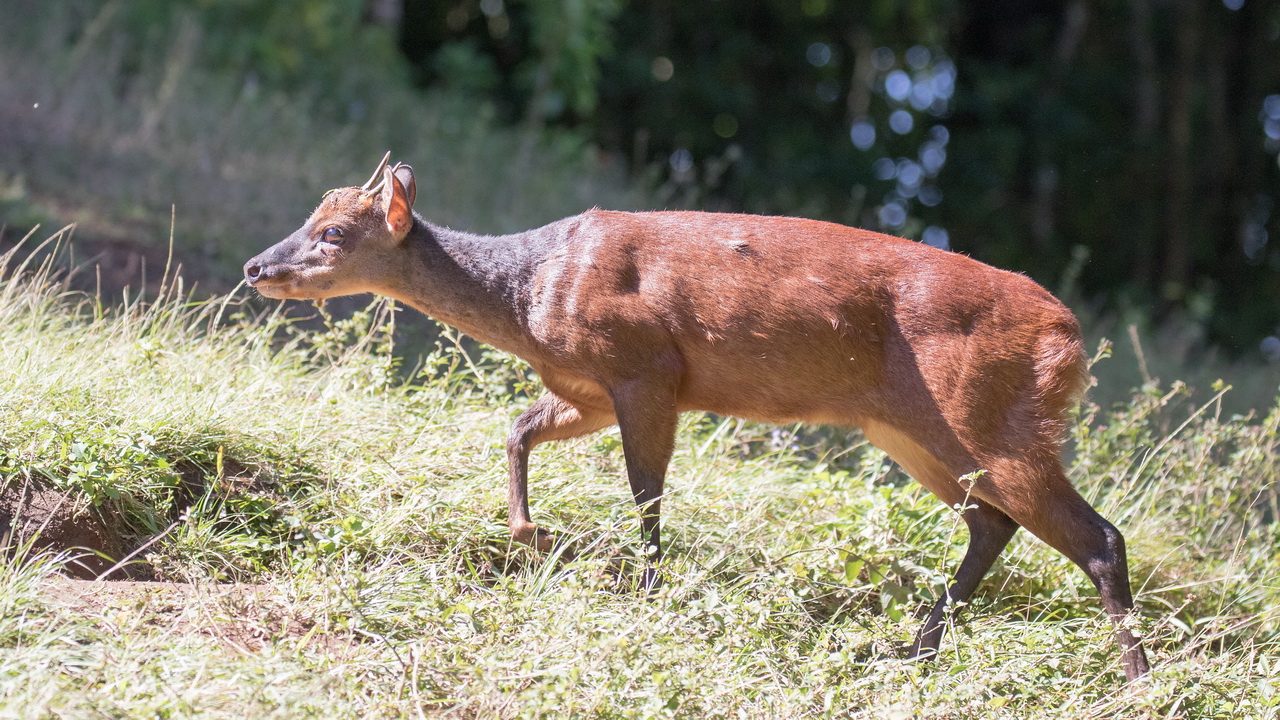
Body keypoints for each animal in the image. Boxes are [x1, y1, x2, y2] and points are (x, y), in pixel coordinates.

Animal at [244, 153, 1150, 682]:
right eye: (310, 219)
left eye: (333, 231)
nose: (257, 266)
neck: (532, 294)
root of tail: (1070, 340)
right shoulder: (586, 387)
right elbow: (517, 428)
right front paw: (530, 534)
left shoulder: (646, 366)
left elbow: (646, 491)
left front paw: (645, 596)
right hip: (911, 430)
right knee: (993, 523)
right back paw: (911, 652)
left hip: (991, 412)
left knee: (1098, 536)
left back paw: (1139, 678)